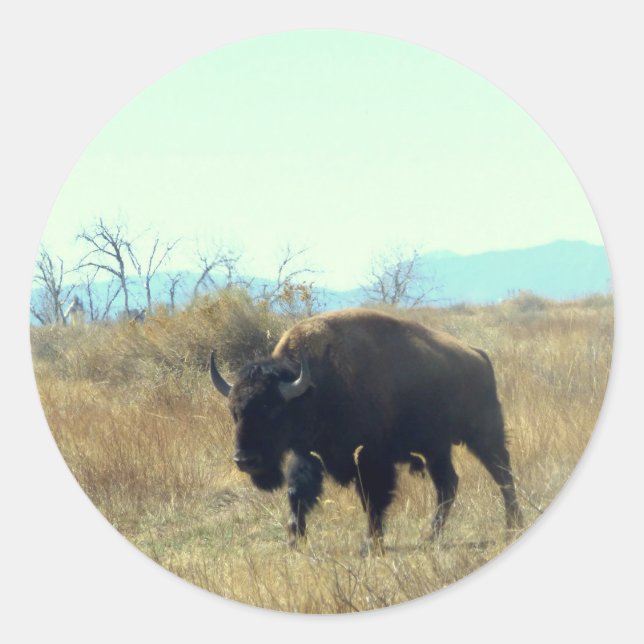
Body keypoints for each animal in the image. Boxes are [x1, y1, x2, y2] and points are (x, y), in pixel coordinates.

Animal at [209, 308, 523, 550]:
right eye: (234, 412)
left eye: (272, 410)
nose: (245, 460)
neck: (313, 388)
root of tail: (478, 355)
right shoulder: (308, 455)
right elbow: (297, 493)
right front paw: (294, 541)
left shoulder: (371, 461)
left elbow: (372, 501)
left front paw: (372, 543)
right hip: (437, 449)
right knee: (448, 484)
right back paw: (430, 536)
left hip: (483, 436)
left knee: (502, 474)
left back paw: (512, 526)